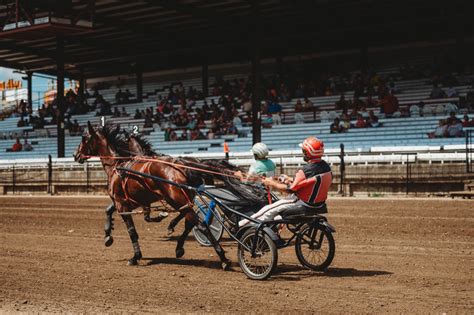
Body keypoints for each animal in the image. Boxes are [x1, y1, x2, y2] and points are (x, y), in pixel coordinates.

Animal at [73, 122, 231, 270]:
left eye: (84, 138)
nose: (76, 155)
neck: (116, 166)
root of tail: (183, 167)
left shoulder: (122, 204)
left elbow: (132, 231)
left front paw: (135, 257)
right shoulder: (131, 201)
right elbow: (110, 211)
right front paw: (107, 235)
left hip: (177, 200)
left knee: (201, 225)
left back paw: (223, 258)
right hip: (183, 201)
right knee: (190, 222)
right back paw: (179, 247)